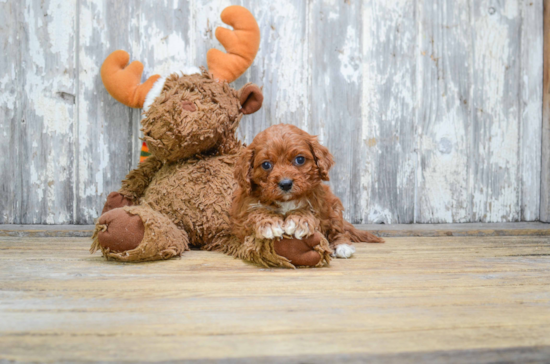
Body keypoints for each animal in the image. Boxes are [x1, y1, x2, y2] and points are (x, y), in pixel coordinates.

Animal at [231, 123, 386, 264]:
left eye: (300, 159)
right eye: (266, 164)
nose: (285, 184)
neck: (286, 201)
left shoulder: (319, 207)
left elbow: (307, 212)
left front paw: (299, 221)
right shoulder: (242, 217)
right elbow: (255, 213)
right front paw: (269, 222)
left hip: (334, 208)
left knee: (339, 231)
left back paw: (342, 246)